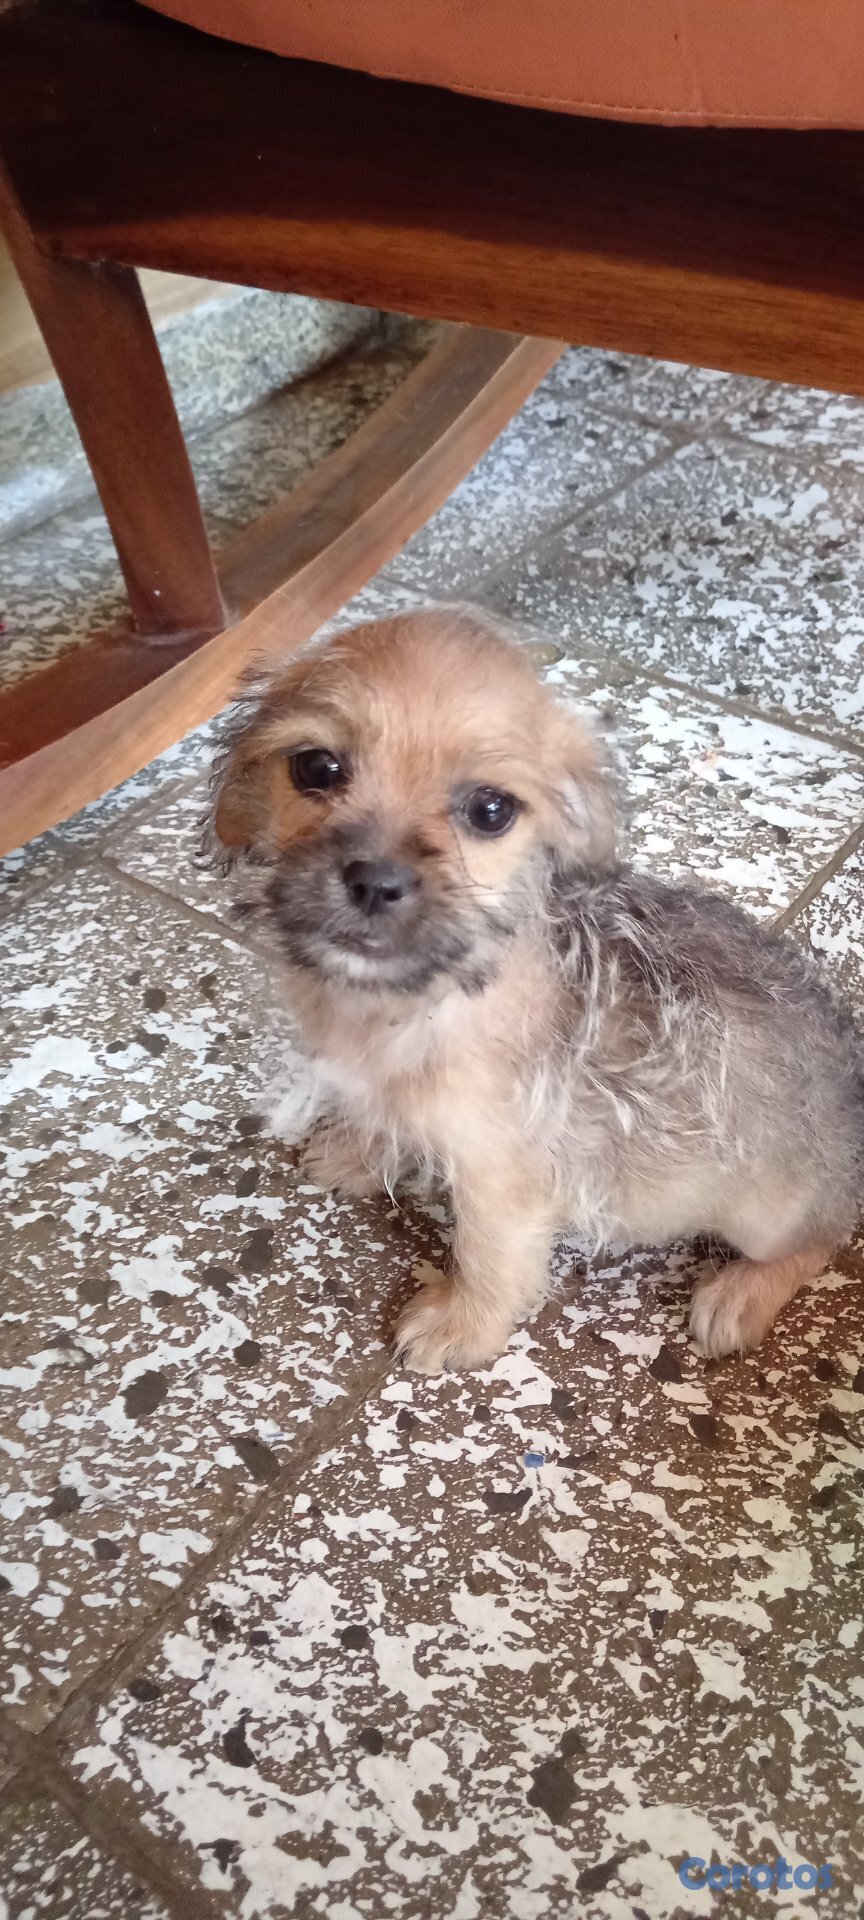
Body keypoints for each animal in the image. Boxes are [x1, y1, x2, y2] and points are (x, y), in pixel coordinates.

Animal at [212, 606, 863, 1372]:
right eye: (316, 767)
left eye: (490, 810)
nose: (375, 882)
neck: (409, 1003)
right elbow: (385, 1121)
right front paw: (359, 1151)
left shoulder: (501, 1181)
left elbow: (489, 1258)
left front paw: (462, 1325)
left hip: (769, 1212)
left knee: (824, 1235)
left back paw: (740, 1295)